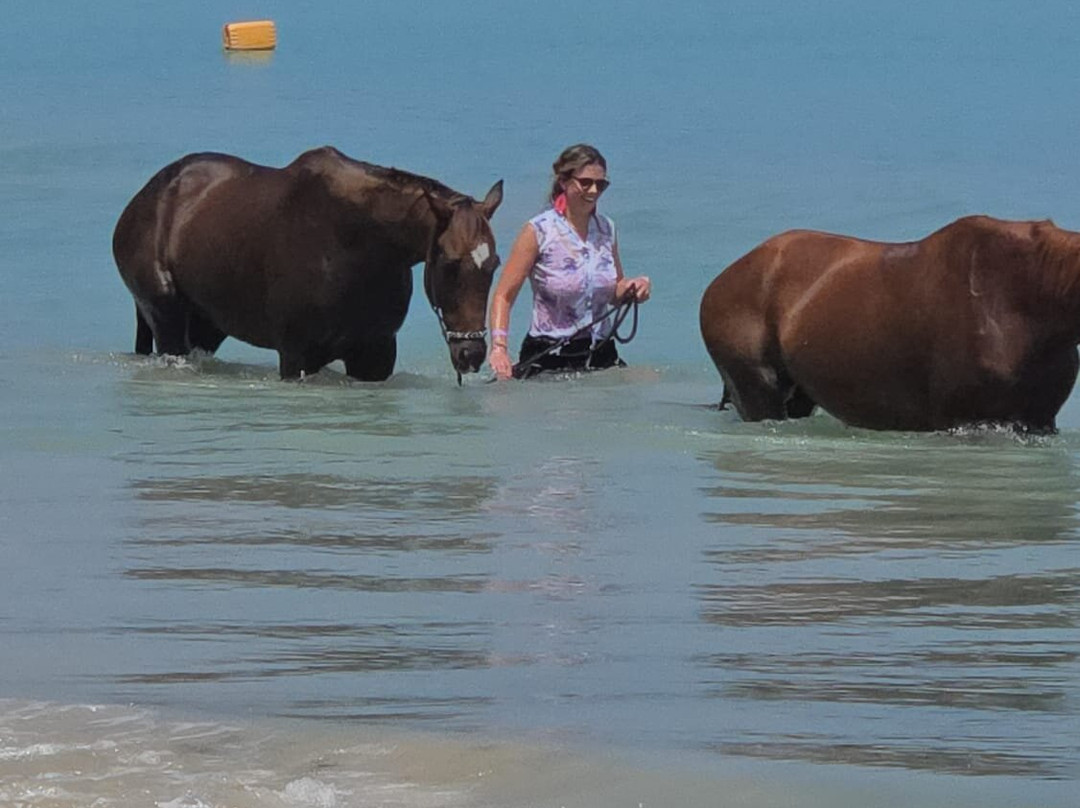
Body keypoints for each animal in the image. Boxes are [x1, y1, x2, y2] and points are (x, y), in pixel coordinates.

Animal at [113, 146, 503, 381]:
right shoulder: (297, 355)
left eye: (494, 264)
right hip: (166, 317)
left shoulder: (375, 354)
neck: (356, 244)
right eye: (449, 263)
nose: (471, 353)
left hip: (208, 324)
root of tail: (150, 195)